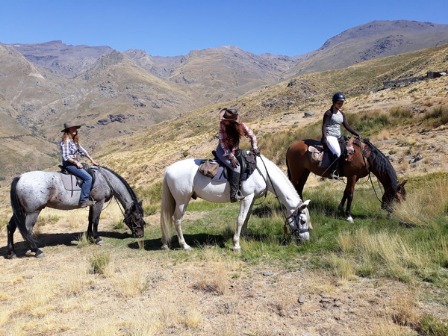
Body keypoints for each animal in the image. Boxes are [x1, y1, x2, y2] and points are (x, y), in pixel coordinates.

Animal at [7, 167, 144, 258]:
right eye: (137, 218)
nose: (140, 235)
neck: (105, 179)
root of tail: (19, 178)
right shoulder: (99, 202)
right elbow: (95, 220)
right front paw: (97, 238)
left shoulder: (92, 204)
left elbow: (90, 219)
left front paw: (89, 236)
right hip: (33, 212)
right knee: (27, 230)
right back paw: (36, 251)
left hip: (21, 211)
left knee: (11, 227)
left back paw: (11, 252)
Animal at [161, 154, 312, 251]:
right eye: (303, 220)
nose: (306, 240)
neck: (262, 173)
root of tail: (168, 169)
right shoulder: (246, 198)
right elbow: (240, 219)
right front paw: (236, 244)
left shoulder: (252, 199)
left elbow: (247, 218)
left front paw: (245, 237)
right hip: (182, 200)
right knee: (177, 220)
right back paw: (184, 245)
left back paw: (165, 244)